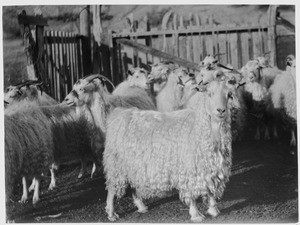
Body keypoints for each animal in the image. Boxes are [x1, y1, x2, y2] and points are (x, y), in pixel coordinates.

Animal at [104, 78, 240, 221]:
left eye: (229, 95)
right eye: (209, 93)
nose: (221, 110)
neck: (199, 127)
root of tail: (119, 114)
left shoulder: (210, 167)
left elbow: (210, 190)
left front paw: (214, 210)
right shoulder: (188, 168)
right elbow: (191, 194)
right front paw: (196, 214)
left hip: (133, 166)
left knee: (133, 186)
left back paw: (141, 206)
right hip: (116, 165)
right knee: (112, 189)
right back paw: (111, 213)